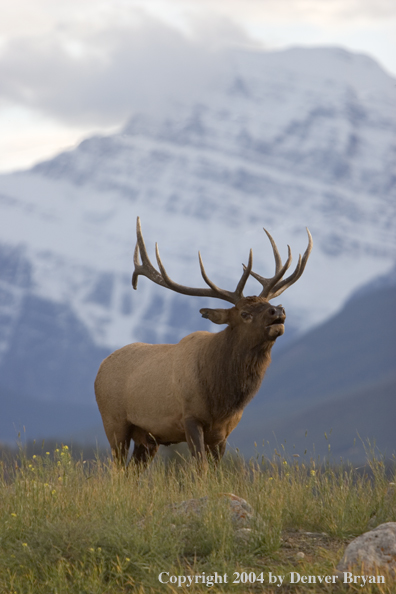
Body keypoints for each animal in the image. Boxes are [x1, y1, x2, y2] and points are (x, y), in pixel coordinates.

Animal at [94, 217, 310, 468]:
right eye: (244, 313)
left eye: (267, 303)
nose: (278, 311)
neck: (221, 398)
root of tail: (100, 369)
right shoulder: (190, 417)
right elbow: (201, 468)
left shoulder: (224, 431)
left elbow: (216, 470)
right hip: (114, 422)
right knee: (117, 468)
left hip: (147, 438)